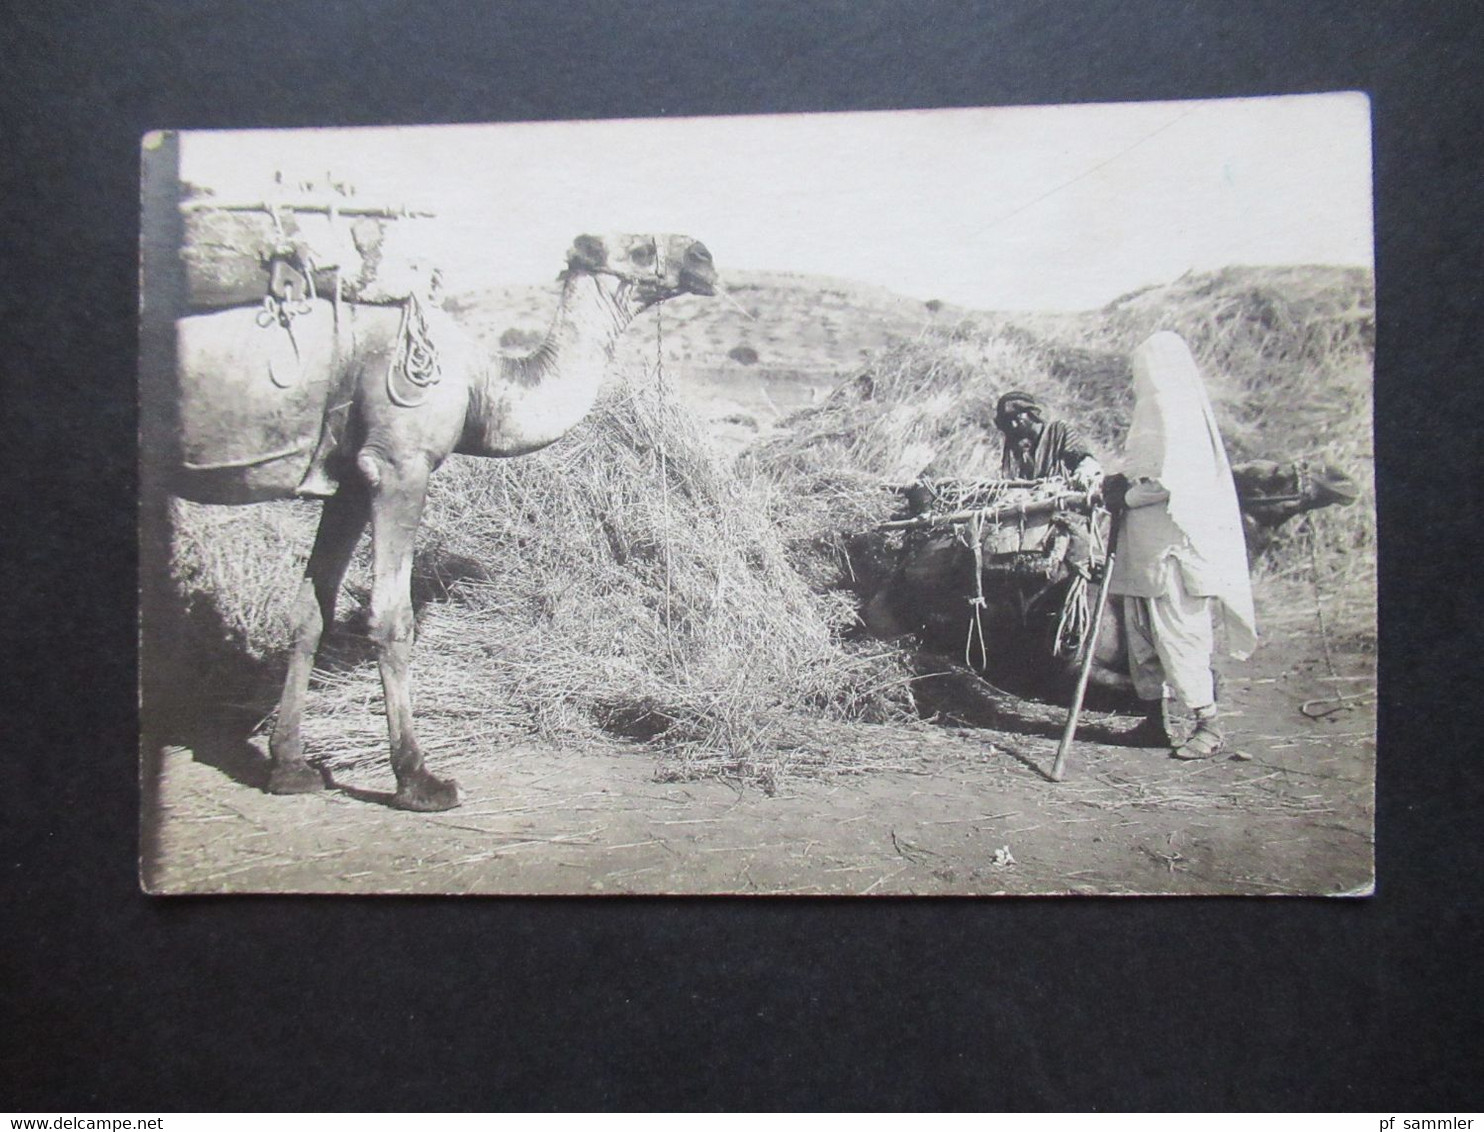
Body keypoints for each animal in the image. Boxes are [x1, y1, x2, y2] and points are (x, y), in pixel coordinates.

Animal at [173, 232, 718, 813]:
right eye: (637, 249)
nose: (704, 257)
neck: (482, 383)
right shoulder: (399, 464)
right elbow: (392, 618)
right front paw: (419, 780)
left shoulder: (348, 481)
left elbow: (310, 613)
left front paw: (290, 768)